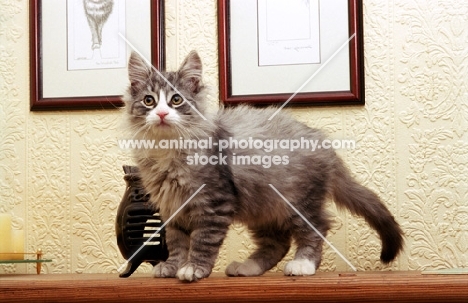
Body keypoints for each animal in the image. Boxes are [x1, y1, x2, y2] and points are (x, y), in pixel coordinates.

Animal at [122, 50, 404, 282]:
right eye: (149, 101)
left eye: (176, 100)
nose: (161, 114)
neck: (166, 149)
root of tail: (323, 143)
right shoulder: (172, 207)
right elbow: (177, 242)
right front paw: (172, 267)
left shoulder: (215, 202)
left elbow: (203, 241)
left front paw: (194, 269)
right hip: (263, 209)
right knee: (277, 243)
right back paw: (248, 267)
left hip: (298, 201)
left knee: (316, 228)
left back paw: (303, 264)